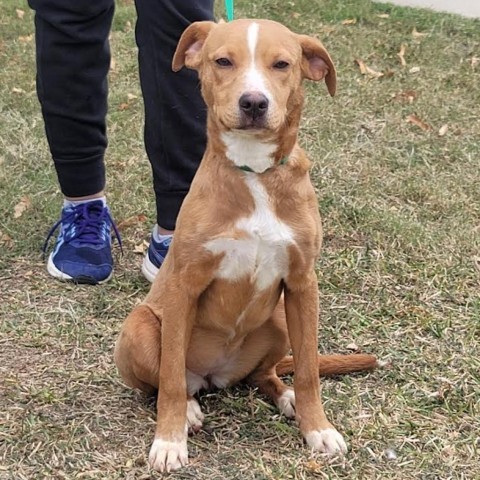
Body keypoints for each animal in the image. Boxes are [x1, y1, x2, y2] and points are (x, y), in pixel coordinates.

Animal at [113, 18, 378, 472]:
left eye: (282, 64)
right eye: (223, 61)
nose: (253, 102)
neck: (254, 172)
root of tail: (213, 376)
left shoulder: (303, 284)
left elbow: (308, 370)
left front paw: (318, 428)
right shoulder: (184, 285)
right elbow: (168, 377)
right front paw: (168, 441)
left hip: (279, 320)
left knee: (264, 375)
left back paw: (285, 397)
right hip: (140, 327)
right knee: (169, 381)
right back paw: (188, 410)